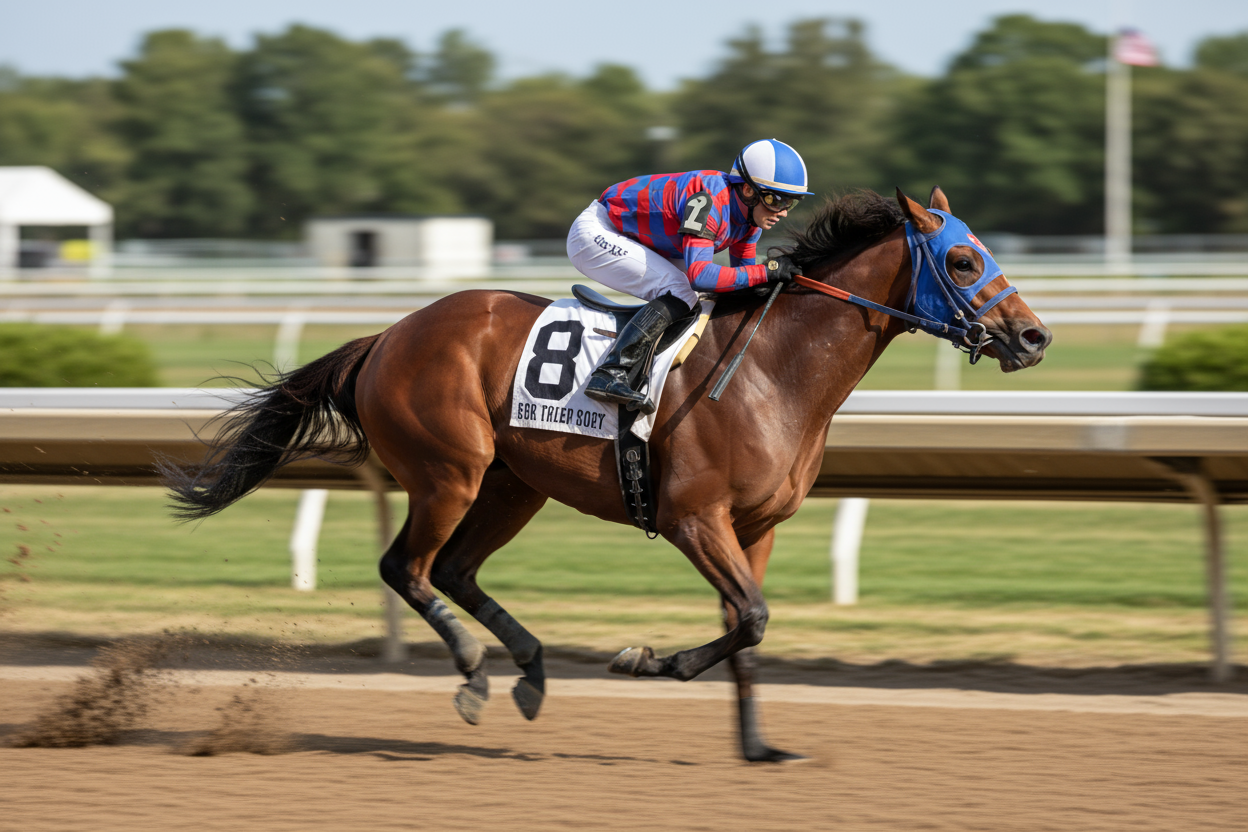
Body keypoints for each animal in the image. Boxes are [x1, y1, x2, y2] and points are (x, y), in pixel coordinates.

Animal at [162, 187, 1052, 762]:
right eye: (963, 259)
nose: (1035, 336)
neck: (775, 369)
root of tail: (385, 336)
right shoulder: (695, 518)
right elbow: (752, 618)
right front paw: (647, 661)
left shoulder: (755, 527)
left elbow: (751, 628)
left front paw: (758, 746)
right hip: (450, 471)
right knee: (406, 567)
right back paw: (477, 676)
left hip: (514, 484)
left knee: (453, 569)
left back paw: (529, 671)